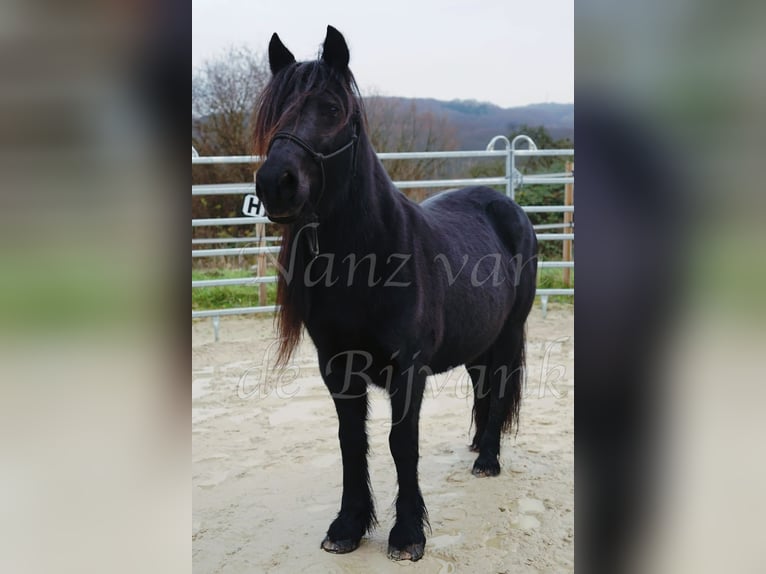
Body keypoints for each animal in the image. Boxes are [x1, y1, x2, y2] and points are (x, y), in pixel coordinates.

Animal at [252, 25, 538, 562]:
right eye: (271, 111)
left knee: (501, 384)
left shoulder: (408, 373)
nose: (275, 183)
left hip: (510, 332)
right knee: (482, 384)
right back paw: (475, 445)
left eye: (332, 108)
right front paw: (348, 525)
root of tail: (507, 205)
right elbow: (351, 442)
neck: (366, 261)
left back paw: (488, 459)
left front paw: (407, 534)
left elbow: (401, 444)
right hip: (478, 338)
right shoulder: (337, 369)